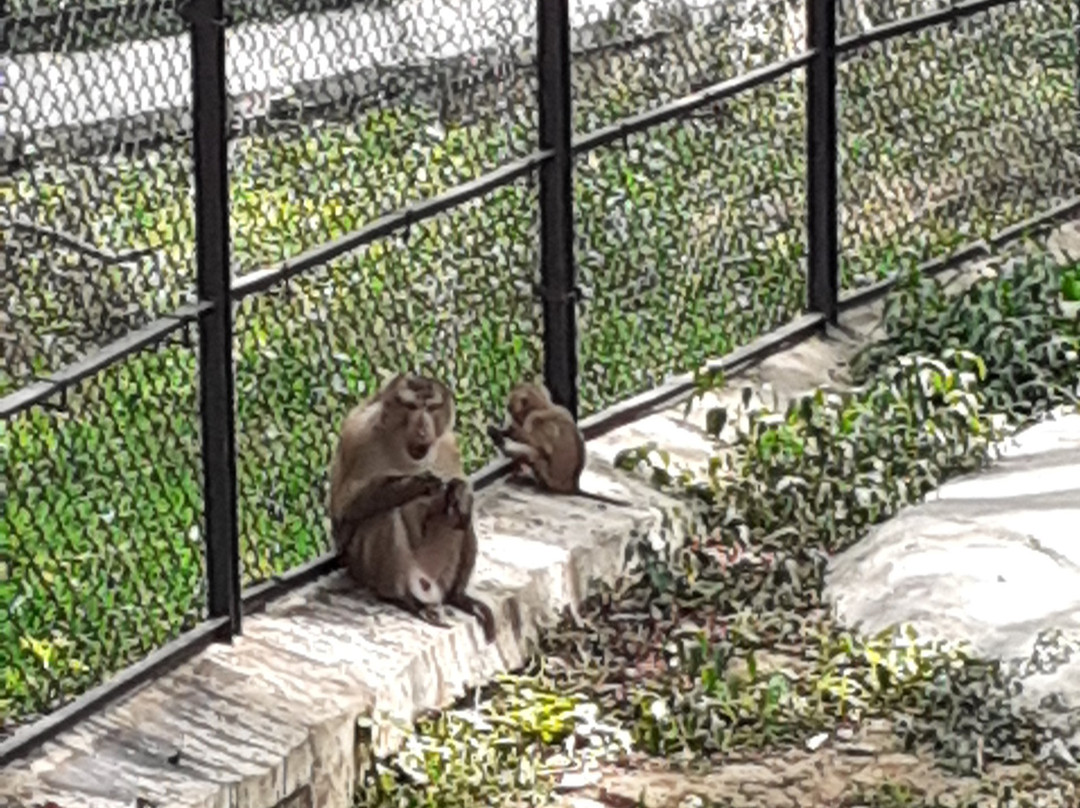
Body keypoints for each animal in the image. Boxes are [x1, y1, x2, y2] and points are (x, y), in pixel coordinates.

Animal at [328, 371, 496, 643]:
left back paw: (458, 596)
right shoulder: (357, 435)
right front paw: (417, 482)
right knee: (385, 515)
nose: (423, 429)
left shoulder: (447, 442)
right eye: (412, 407)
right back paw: (404, 599)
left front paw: (459, 490)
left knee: (460, 516)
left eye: (431, 408)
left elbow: (458, 492)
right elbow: (344, 514)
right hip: (367, 571)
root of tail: (426, 583)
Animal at [486, 384, 630, 505]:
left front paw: (509, 432)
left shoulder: (537, 421)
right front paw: (505, 431)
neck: (541, 406)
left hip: (549, 479)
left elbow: (543, 448)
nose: (508, 410)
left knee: (537, 455)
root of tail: (573, 486)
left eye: (509, 407)